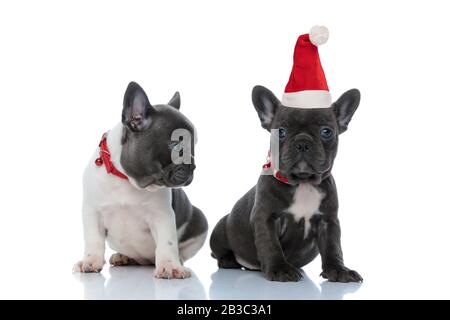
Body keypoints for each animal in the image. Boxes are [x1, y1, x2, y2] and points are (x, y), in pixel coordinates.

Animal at [210, 85, 362, 282]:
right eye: (280, 131)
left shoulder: (328, 221)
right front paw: (279, 269)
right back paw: (228, 260)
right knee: (220, 251)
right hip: (220, 230)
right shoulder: (266, 217)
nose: (303, 142)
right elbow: (271, 244)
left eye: (326, 132)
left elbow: (333, 246)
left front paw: (338, 270)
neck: (303, 183)